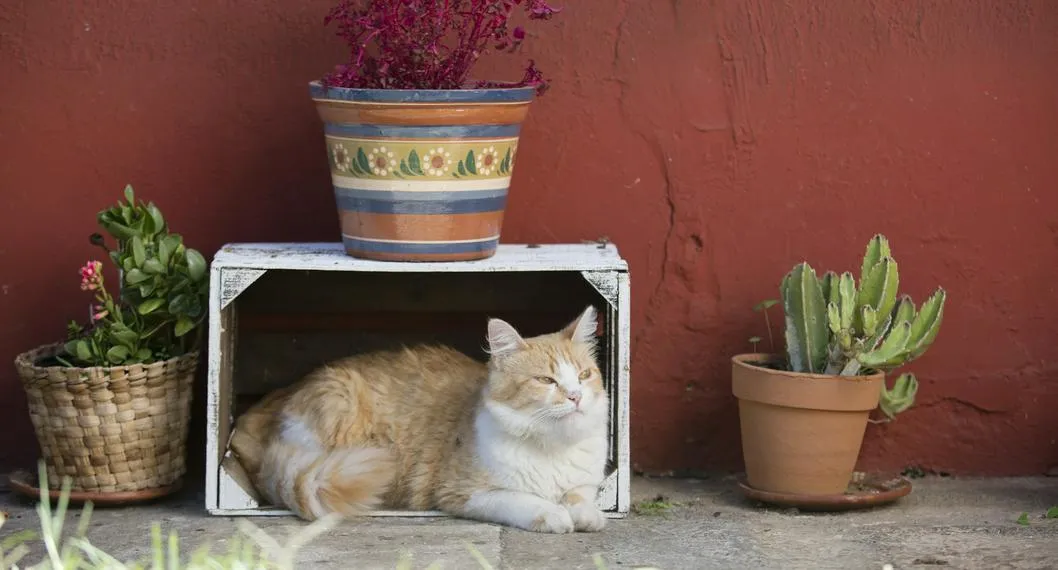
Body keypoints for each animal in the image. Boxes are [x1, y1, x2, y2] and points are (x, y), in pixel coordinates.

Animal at [229, 308, 613, 535]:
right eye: (546, 381)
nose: (575, 396)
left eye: (584, 375)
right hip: (341, 413)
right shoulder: (465, 492)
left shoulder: (583, 482)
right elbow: (524, 501)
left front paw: (586, 514)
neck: (553, 446)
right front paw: (554, 515)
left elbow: (579, 498)